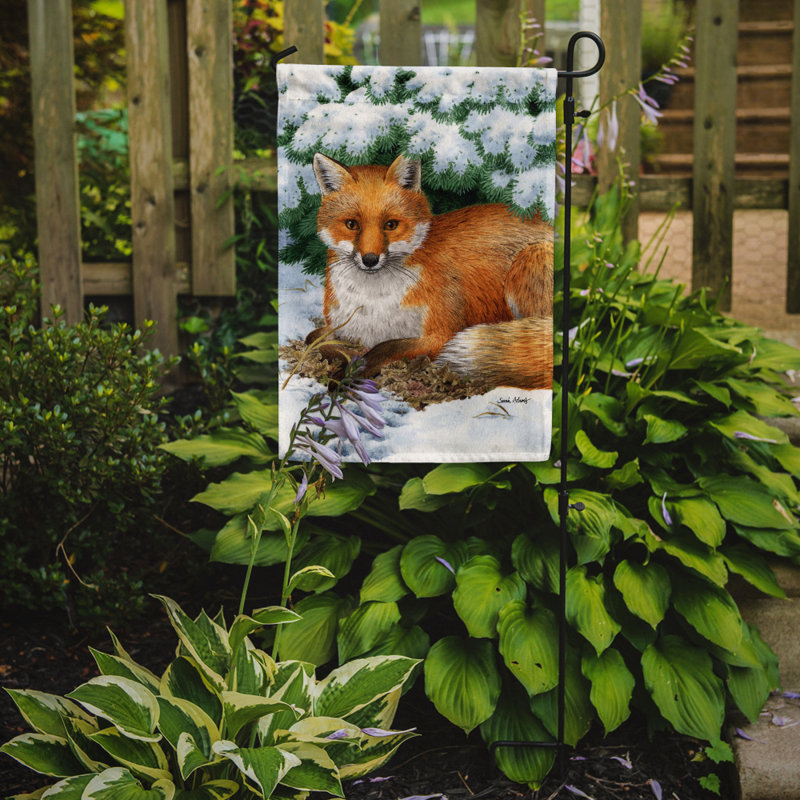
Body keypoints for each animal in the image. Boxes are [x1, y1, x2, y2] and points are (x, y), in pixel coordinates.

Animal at [306, 152, 553, 390]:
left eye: (391, 225)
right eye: (352, 224)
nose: (370, 260)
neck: (373, 303)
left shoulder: (442, 335)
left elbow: (386, 348)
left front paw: (348, 373)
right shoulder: (340, 326)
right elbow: (313, 339)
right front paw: (349, 356)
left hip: (529, 259)